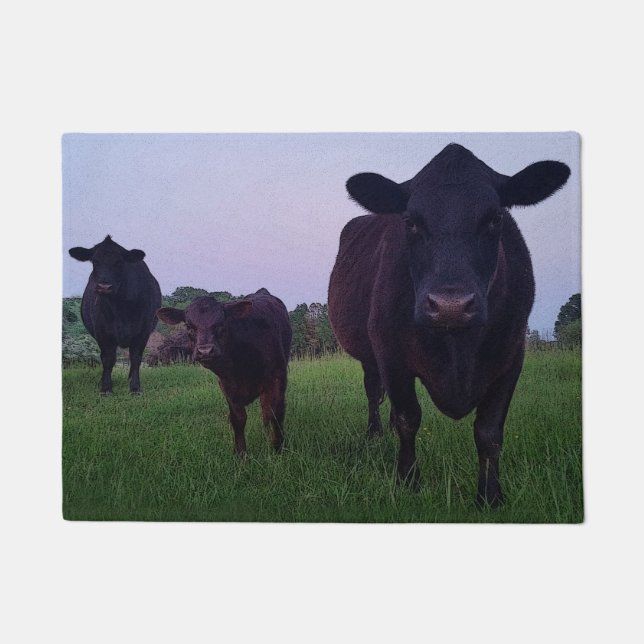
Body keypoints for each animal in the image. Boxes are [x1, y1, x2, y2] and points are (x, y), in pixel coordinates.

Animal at [68, 235, 162, 395]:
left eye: (119, 262)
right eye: (95, 261)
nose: (104, 286)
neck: (121, 309)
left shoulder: (143, 332)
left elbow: (136, 357)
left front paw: (135, 387)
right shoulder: (102, 332)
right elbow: (107, 358)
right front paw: (106, 388)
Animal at [156, 289, 292, 455]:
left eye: (221, 324)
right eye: (189, 326)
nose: (205, 351)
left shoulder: (278, 377)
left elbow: (275, 412)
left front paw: (279, 447)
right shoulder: (227, 386)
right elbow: (238, 419)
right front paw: (240, 453)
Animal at [328, 143, 570, 507]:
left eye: (495, 218)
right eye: (411, 222)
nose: (450, 307)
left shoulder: (512, 355)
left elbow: (489, 431)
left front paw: (490, 496)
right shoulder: (389, 351)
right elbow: (408, 418)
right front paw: (409, 480)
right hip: (368, 351)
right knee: (374, 391)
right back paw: (375, 434)